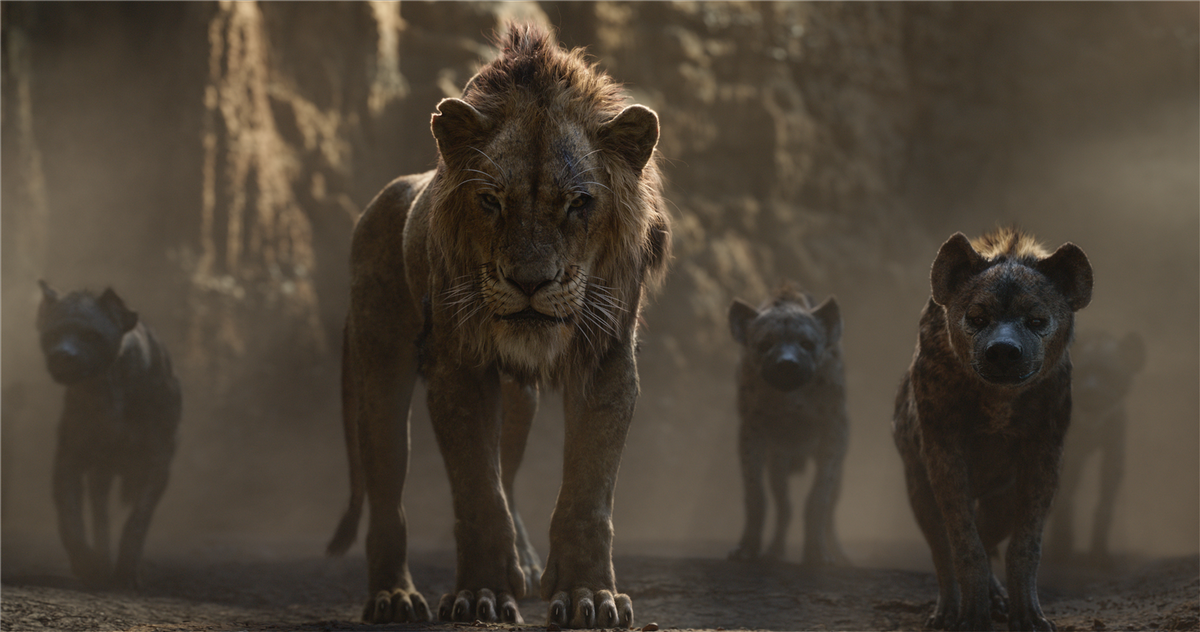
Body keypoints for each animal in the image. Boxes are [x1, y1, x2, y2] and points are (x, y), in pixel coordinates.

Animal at [326, 25, 670, 629]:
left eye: (579, 203)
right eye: (490, 200)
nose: (530, 282)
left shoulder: (606, 361)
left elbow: (586, 494)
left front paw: (587, 596)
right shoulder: (459, 367)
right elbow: (477, 493)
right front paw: (480, 595)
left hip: (518, 400)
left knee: (507, 471)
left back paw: (526, 564)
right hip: (379, 370)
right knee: (388, 490)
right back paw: (393, 597)